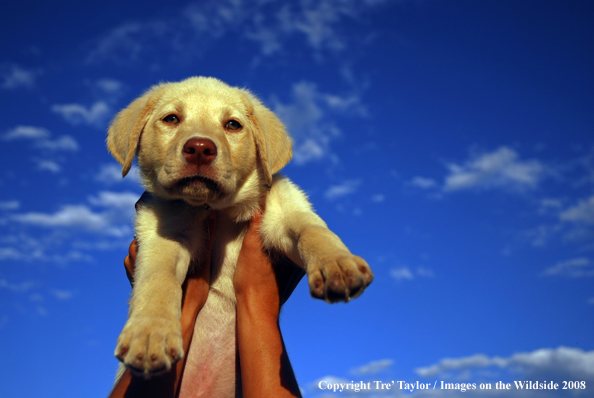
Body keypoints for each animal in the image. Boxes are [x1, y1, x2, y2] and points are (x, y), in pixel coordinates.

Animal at [104, 77, 368, 394]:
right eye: (171, 119)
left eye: (232, 125)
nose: (200, 148)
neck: (219, 211)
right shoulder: (162, 234)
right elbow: (159, 278)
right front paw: (150, 332)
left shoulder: (285, 211)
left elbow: (313, 231)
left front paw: (337, 264)